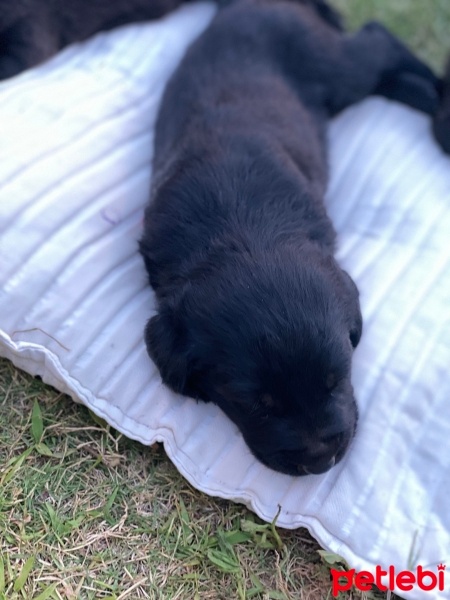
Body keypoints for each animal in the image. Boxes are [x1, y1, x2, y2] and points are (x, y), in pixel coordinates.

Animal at [139, 1, 448, 478]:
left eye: (335, 381)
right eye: (259, 404)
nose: (321, 461)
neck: (244, 232)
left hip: (335, 66)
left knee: (377, 39)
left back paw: (433, 90)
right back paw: (427, 96)